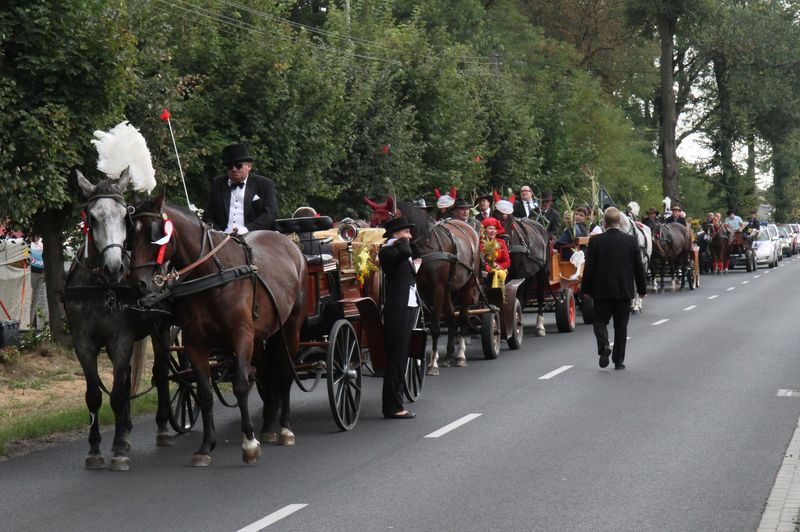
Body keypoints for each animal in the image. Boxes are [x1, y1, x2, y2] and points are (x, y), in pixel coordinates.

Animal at [128, 195, 306, 466]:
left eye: (156, 234)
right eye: (131, 234)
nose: (139, 284)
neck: (212, 274)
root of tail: (291, 246)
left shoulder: (241, 335)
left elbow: (241, 385)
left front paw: (249, 444)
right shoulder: (195, 342)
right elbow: (204, 393)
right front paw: (206, 446)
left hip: (290, 326)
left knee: (285, 373)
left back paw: (285, 428)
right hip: (261, 335)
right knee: (266, 373)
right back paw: (268, 426)